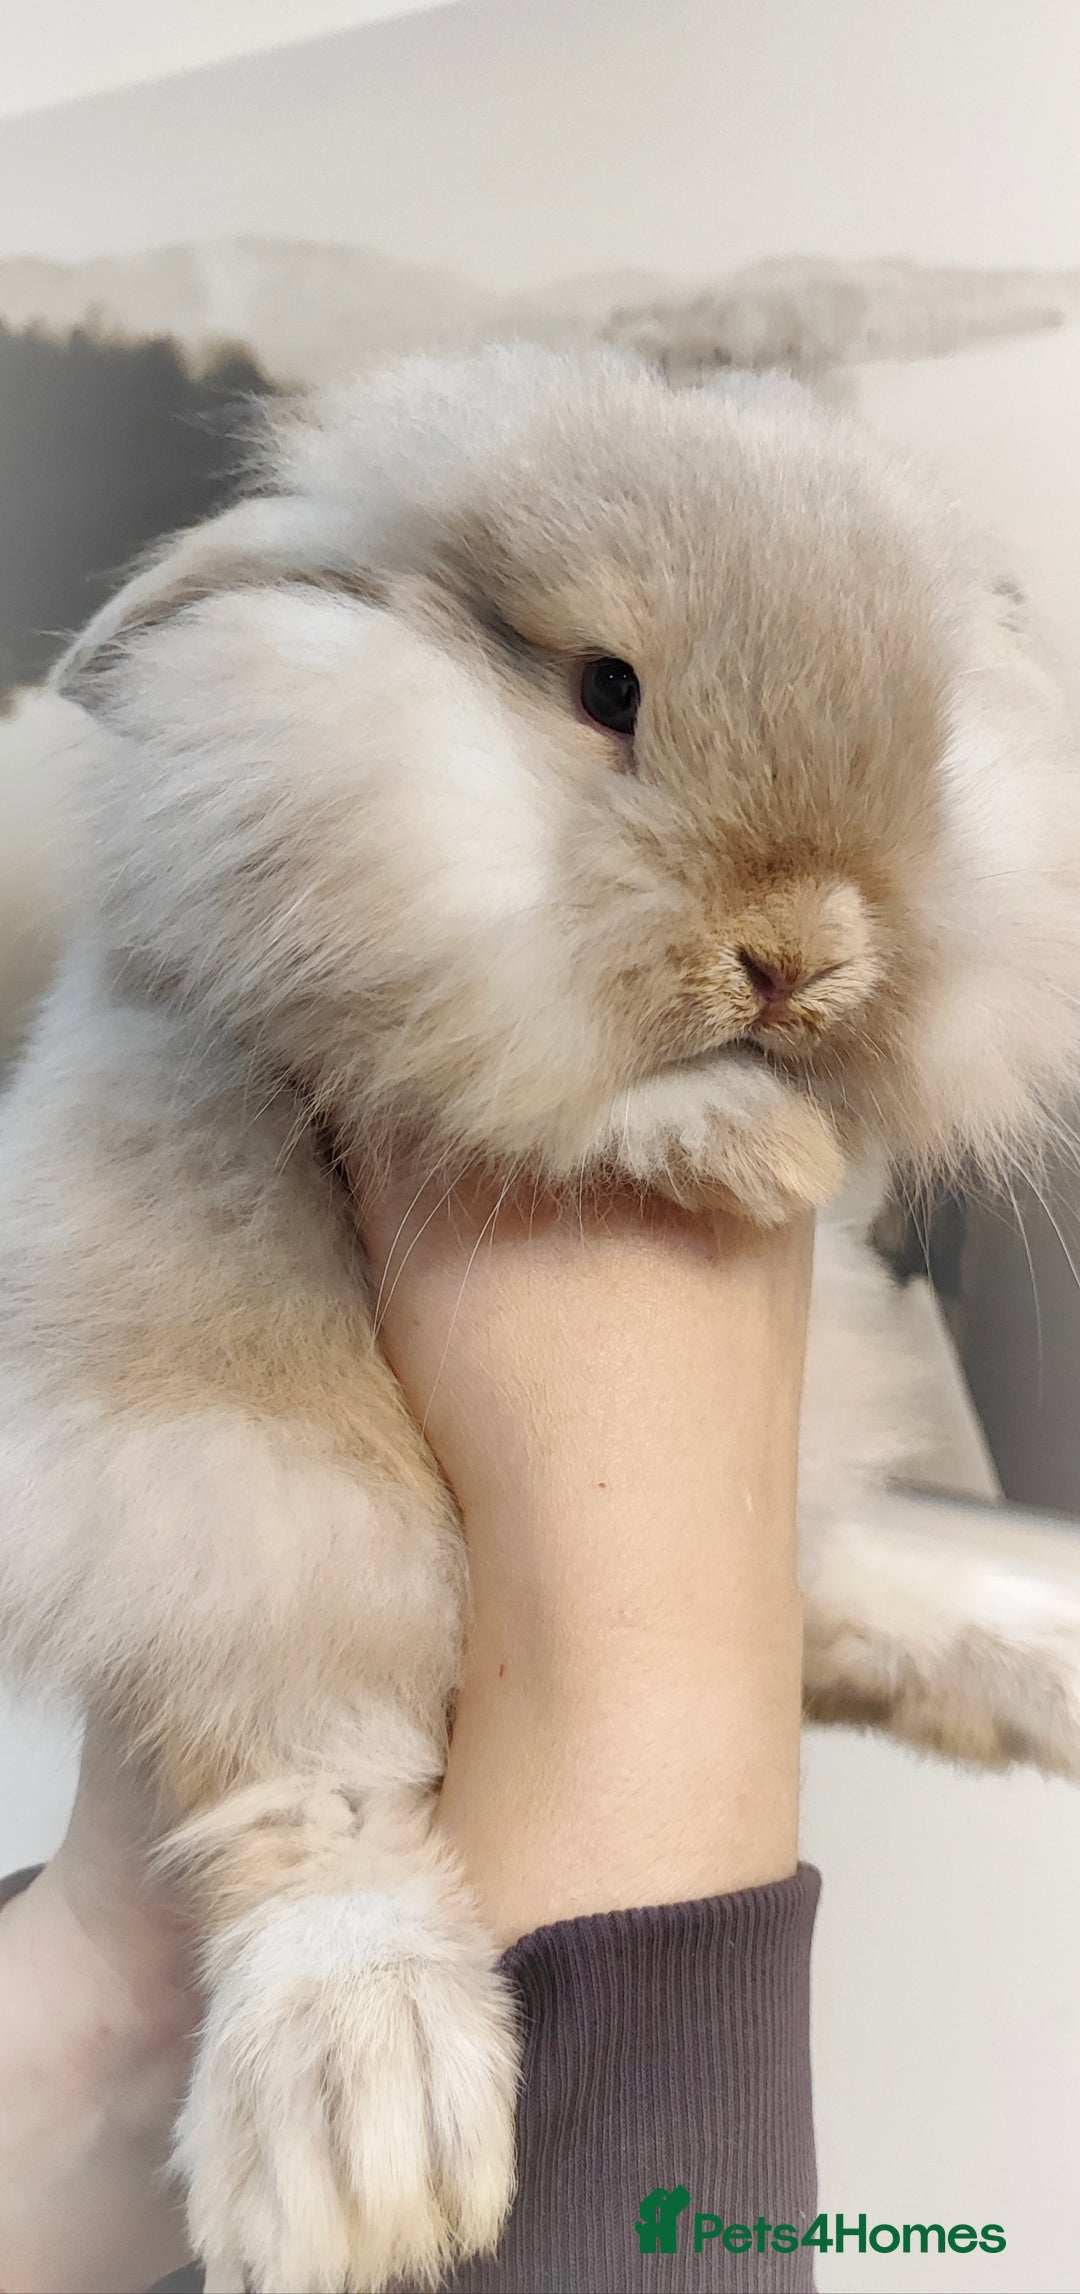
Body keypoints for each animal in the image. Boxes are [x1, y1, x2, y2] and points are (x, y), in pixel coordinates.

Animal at [2, 342, 1080, 2292]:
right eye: (606, 690)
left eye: (930, 735)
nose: (802, 949)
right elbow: (554, 1088)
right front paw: (745, 1137)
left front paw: (782, 1125)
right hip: (234, 1469)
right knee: (305, 1771)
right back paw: (358, 2119)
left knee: (827, 1600)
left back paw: (1028, 1669)